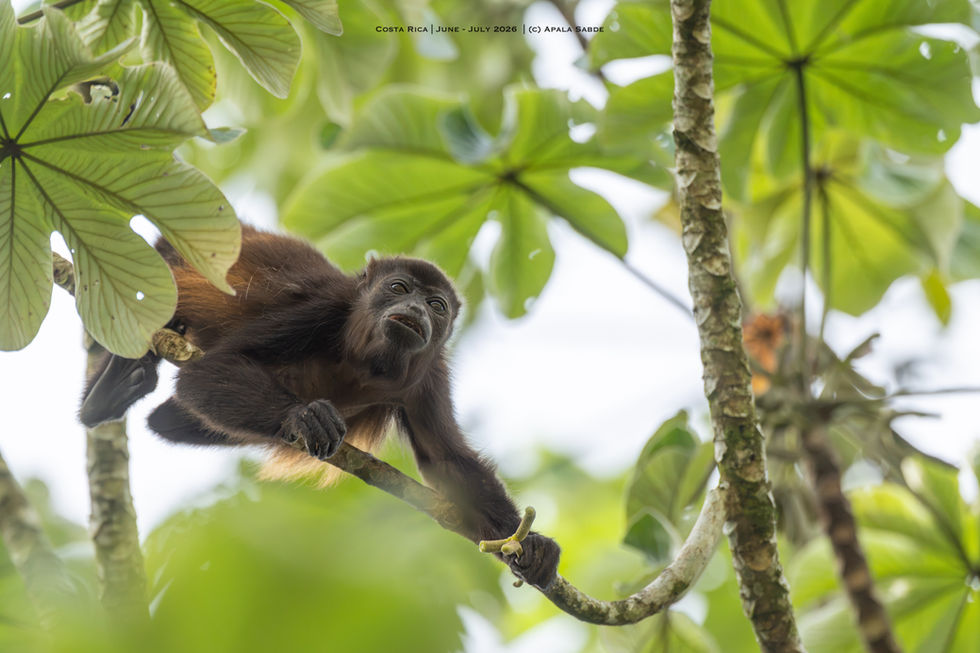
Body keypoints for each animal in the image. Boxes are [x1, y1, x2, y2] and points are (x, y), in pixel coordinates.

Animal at [79, 224, 560, 589]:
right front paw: (302, 416)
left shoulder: (429, 371)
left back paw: (122, 389)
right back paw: (109, 390)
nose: (416, 309)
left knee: (168, 421)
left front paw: (530, 545)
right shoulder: (324, 309)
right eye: (399, 288)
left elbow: (446, 458)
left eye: (436, 305)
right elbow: (211, 369)